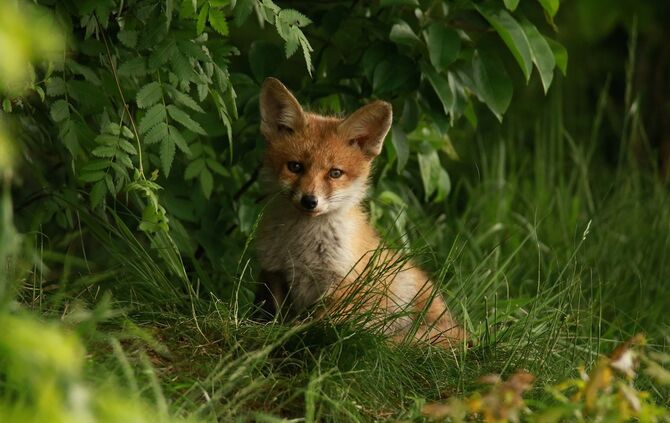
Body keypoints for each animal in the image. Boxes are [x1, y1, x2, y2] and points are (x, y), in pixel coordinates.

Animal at [254, 78, 466, 348]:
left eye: (335, 173)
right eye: (295, 167)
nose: (310, 201)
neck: (301, 246)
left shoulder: (343, 284)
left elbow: (318, 323)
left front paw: (297, 334)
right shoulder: (275, 272)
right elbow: (276, 315)